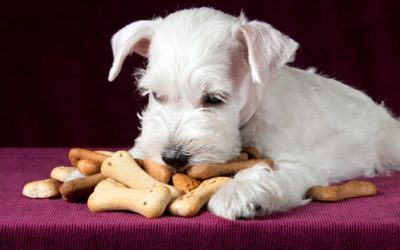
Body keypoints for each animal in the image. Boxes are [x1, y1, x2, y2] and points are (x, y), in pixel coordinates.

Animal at [106, 6, 400, 220]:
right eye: (156, 95)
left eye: (214, 98)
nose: (172, 157)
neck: (249, 119)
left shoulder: (299, 163)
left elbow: (267, 171)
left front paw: (237, 192)